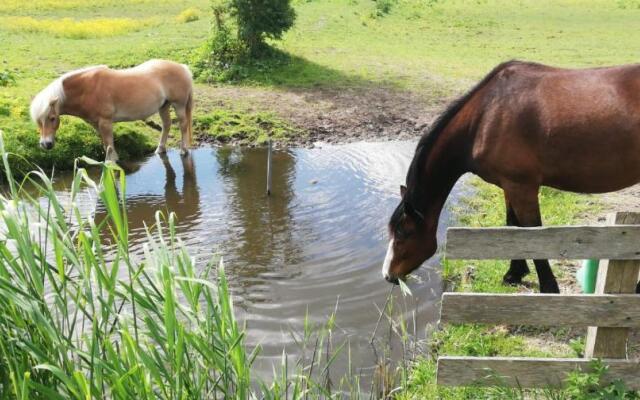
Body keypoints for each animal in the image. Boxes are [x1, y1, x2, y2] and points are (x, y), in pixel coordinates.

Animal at [30, 59, 194, 161]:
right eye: (38, 121)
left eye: (52, 118)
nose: (46, 144)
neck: (87, 89)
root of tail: (183, 67)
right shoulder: (96, 124)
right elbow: (106, 145)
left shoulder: (105, 122)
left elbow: (109, 144)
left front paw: (111, 163)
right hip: (164, 106)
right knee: (166, 125)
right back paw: (160, 149)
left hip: (178, 105)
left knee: (183, 125)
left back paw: (184, 150)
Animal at [382, 60, 640, 294]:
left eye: (404, 233)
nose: (387, 275)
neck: (485, 116)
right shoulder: (509, 185)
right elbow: (513, 226)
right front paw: (514, 274)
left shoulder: (522, 187)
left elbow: (532, 233)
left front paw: (548, 287)